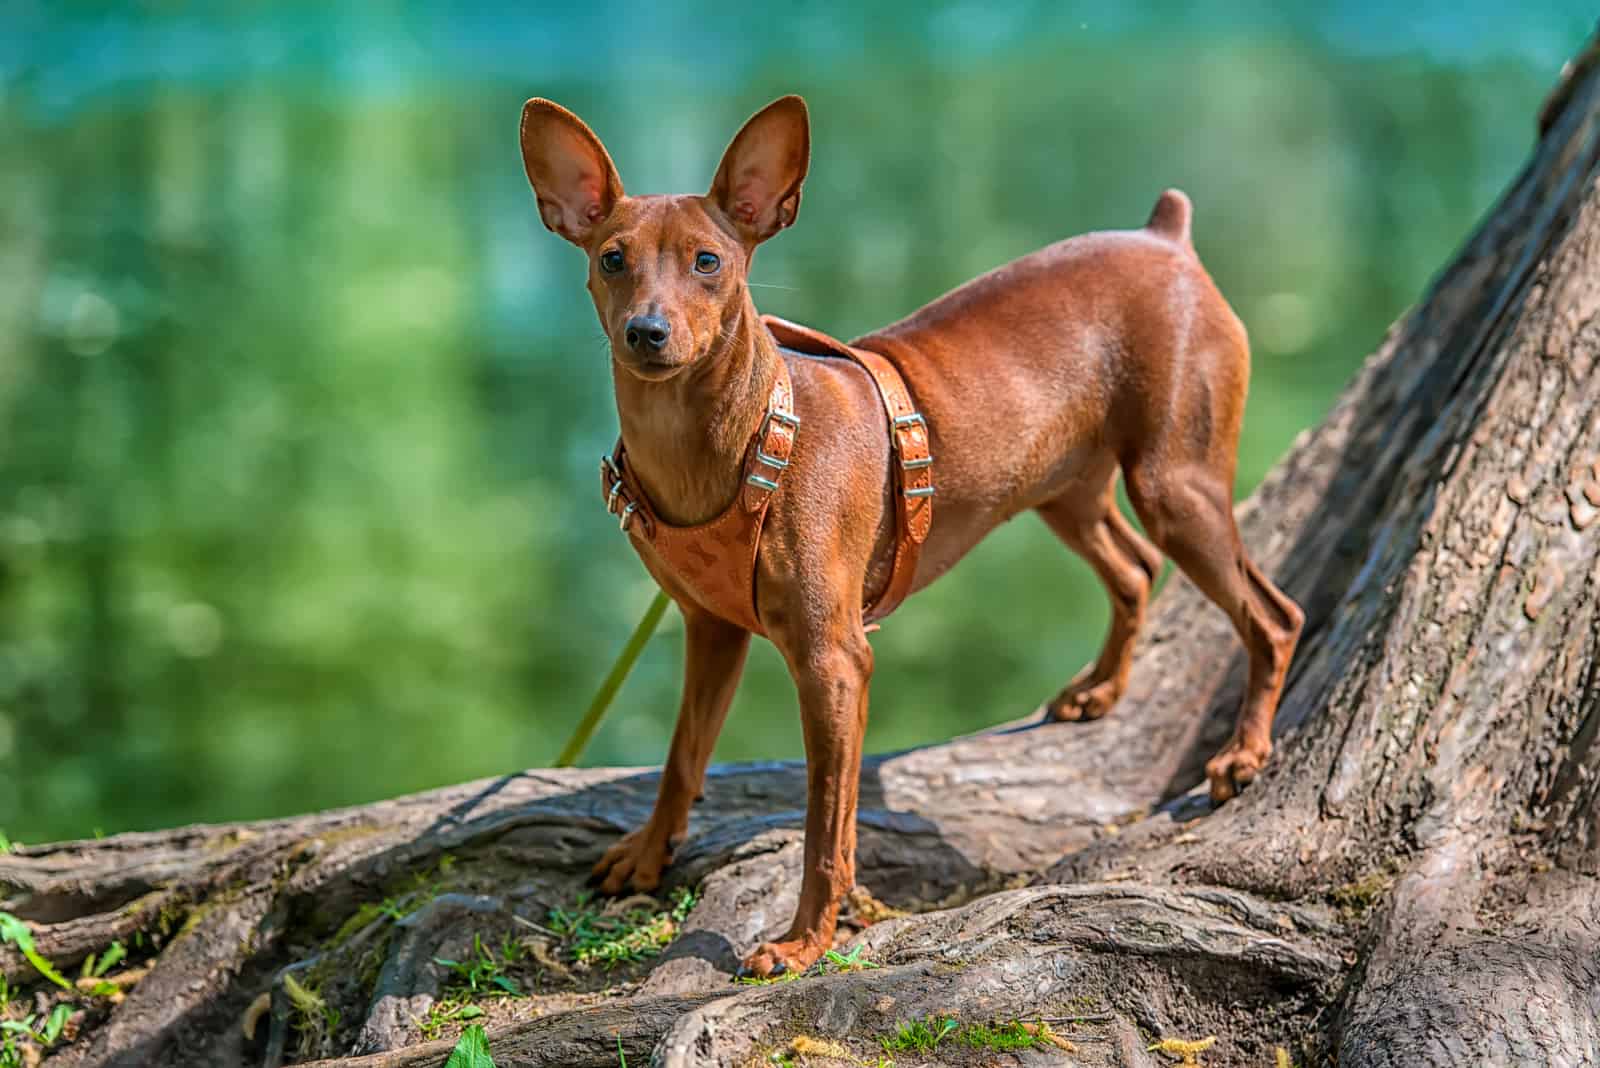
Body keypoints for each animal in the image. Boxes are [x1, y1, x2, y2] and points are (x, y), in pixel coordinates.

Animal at [518, 93, 1305, 978]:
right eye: (613, 259)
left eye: (709, 262)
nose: (646, 334)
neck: (739, 442)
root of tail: (1165, 238)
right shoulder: (711, 628)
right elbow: (683, 756)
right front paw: (650, 856)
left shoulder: (834, 662)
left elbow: (827, 827)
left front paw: (804, 941)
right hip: (1064, 490)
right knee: (1135, 569)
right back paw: (1101, 689)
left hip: (1175, 487)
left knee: (1275, 617)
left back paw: (1244, 754)